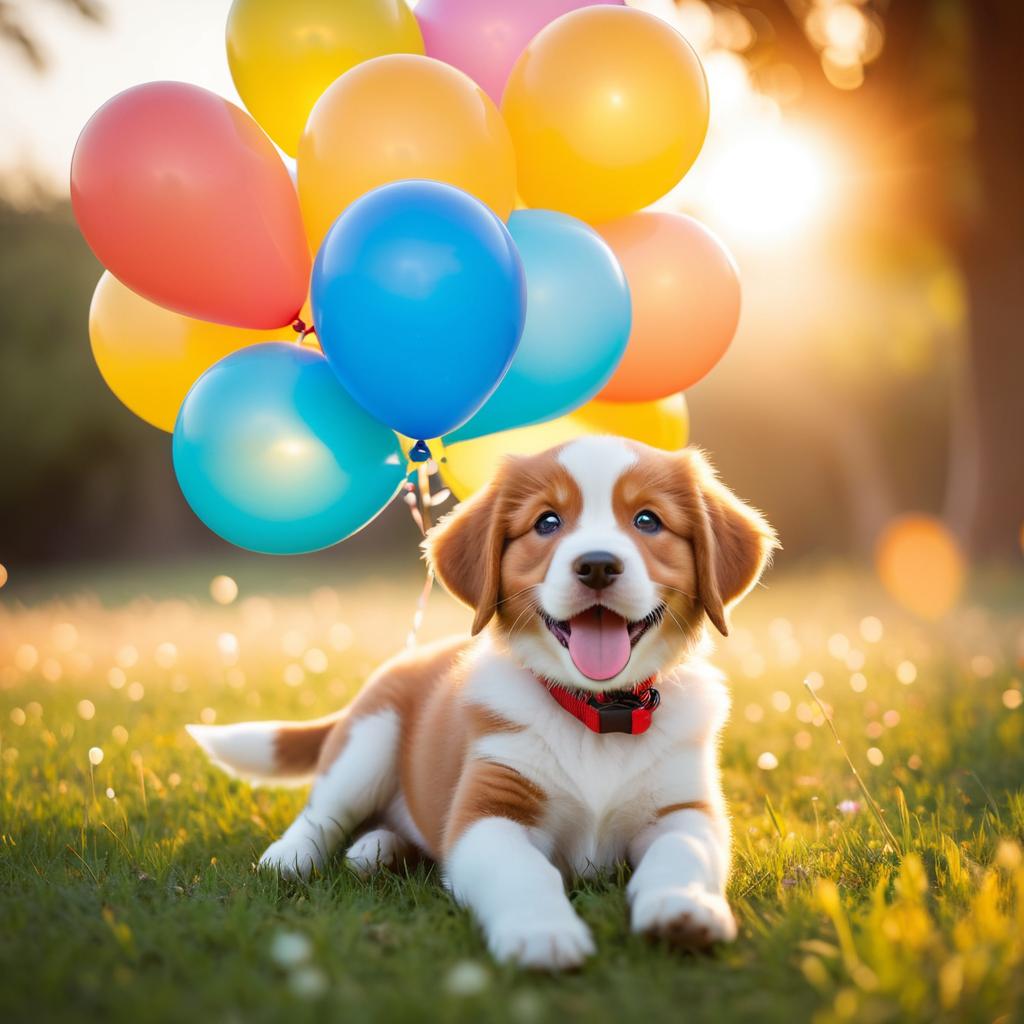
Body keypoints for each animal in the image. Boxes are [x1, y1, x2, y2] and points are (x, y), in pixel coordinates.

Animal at [188, 438, 774, 966]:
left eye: (648, 521)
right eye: (546, 523)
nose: (598, 565)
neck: (599, 714)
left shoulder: (683, 810)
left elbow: (682, 855)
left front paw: (684, 908)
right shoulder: (489, 812)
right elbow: (522, 872)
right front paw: (542, 932)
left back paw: (377, 851)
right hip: (369, 738)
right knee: (322, 814)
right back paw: (290, 859)